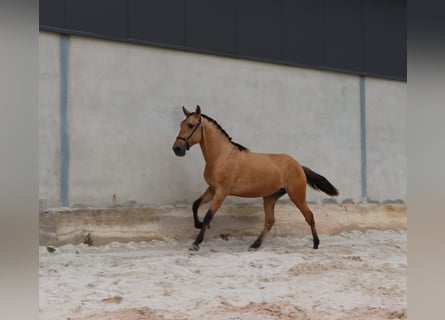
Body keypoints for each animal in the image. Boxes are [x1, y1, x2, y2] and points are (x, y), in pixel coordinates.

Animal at [170, 104, 336, 250]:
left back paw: (316, 244)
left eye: (191, 125)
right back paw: (255, 245)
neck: (222, 156)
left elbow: (209, 215)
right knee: (269, 221)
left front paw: (196, 243)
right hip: (270, 197)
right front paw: (198, 224)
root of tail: (299, 165)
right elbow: (195, 204)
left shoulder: (222, 191)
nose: (177, 149)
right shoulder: (212, 189)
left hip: (297, 195)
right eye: (181, 124)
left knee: (309, 216)